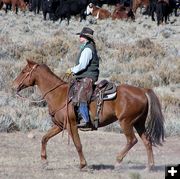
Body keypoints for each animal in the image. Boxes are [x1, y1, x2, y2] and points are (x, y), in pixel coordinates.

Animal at [12, 59, 165, 169]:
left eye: (24, 71)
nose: (13, 85)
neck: (58, 94)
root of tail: (143, 90)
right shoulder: (60, 126)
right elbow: (44, 138)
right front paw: (44, 161)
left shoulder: (72, 125)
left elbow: (78, 144)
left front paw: (83, 165)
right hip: (139, 123)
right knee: (147, 141)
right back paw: (149, 167)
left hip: (126, 122)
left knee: (132, 140)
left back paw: (118, 161)